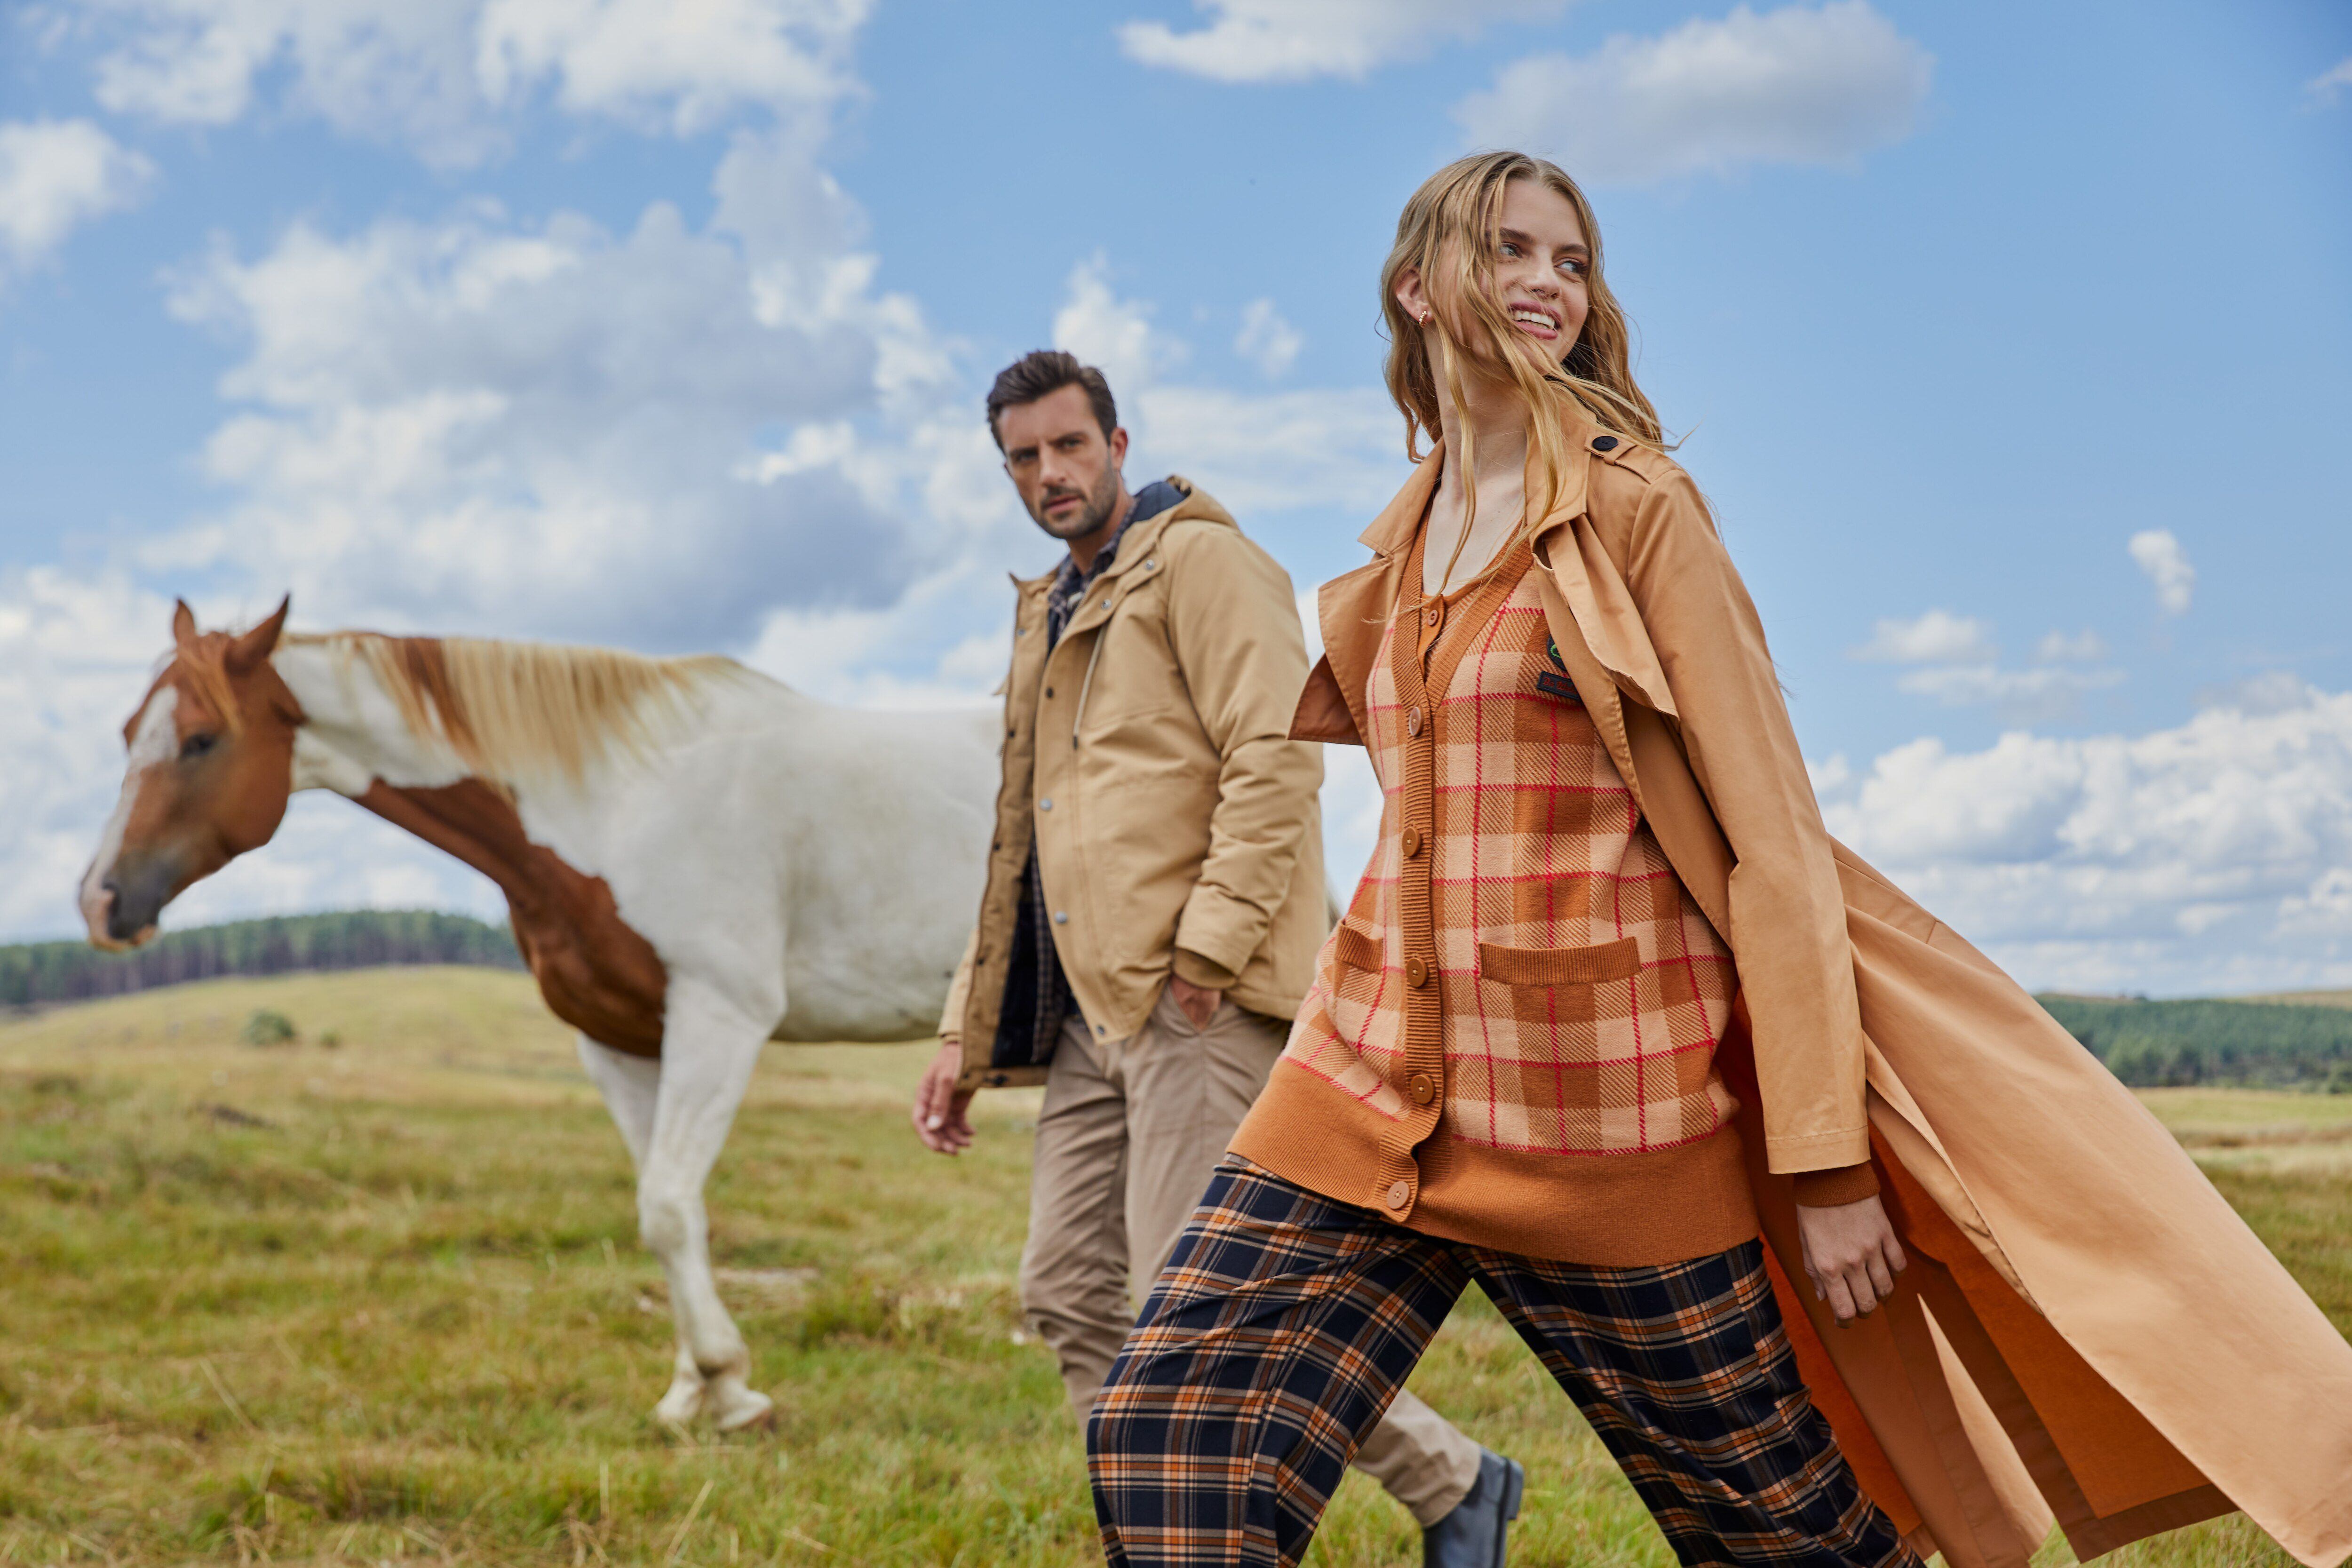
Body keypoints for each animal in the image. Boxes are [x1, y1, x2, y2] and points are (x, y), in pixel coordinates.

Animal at [78, 602, 997, 1439]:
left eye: (201, 739)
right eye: (127, 731)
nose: (101, 899)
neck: (622, 800)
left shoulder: (720, 1017)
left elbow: (668, 1204)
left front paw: (727, 1386)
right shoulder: (621, 1041)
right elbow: (672, 1213)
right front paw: (695, 1392)